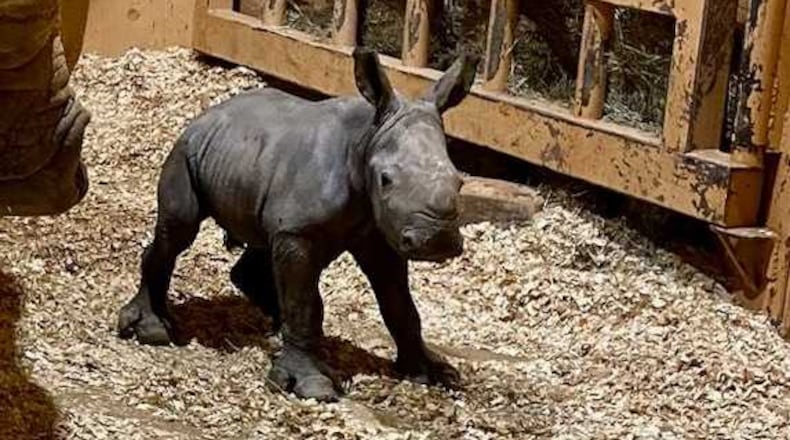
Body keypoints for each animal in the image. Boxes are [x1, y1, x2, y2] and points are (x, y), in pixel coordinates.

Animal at [117, 47, 478, 401]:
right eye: (385, 180)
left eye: (460, 182)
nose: (436, 240)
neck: (367, 138)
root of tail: (208, 114)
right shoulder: (299, 232)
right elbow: (304, 304)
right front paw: (313, 385)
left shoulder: (378, 232)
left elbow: (400, 304)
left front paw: (434, 373)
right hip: (185, 152)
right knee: (179, 229)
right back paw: (152, 330)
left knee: (261, 246)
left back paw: (276, 333)